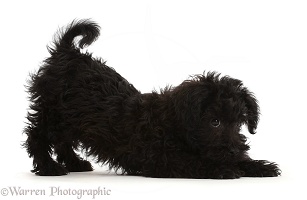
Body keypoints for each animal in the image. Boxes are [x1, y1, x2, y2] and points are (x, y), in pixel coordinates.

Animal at [24, 19, 282, 178]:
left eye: (239, 123)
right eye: (214, 122)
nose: (235, 151)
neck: (173, 124)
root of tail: (68, 53)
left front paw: (258, 166)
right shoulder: (161, 158)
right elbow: (193, 162)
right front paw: (223, 169)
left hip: (71, 120)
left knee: (63, 141)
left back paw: (75, 164)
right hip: (53, 113)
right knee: (37, 136)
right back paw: (49, 167)